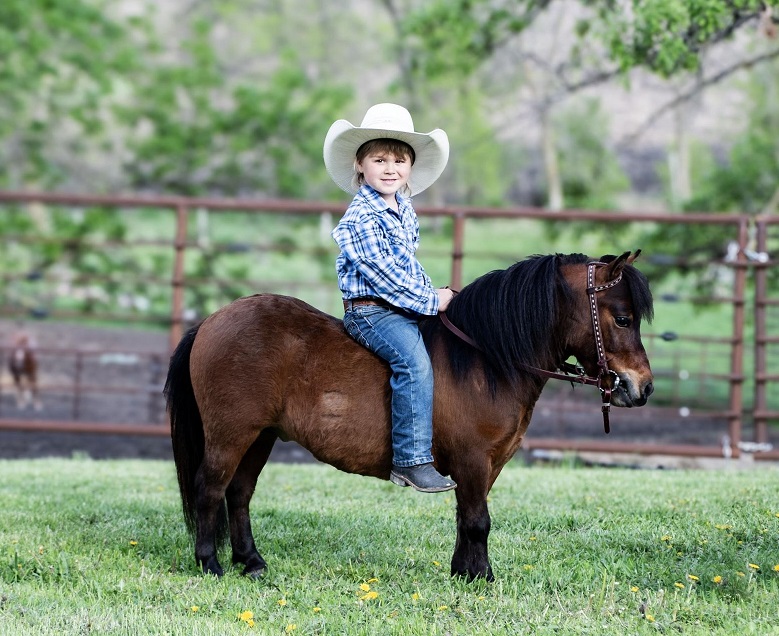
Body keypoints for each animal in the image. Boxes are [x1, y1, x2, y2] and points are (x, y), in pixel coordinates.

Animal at [164, 250, 654, 581]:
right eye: (623, 318)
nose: (643, 387)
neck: (485, 359)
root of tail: (210, 322)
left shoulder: (486, 465)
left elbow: (467, 519)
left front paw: (463, 573)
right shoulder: (473, 460)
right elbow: (478, 521)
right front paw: (482, 578)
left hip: (260, 436)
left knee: (239, 494)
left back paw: (252, 562)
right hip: (231, 434)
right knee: (210, 489)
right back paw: (210, 564)